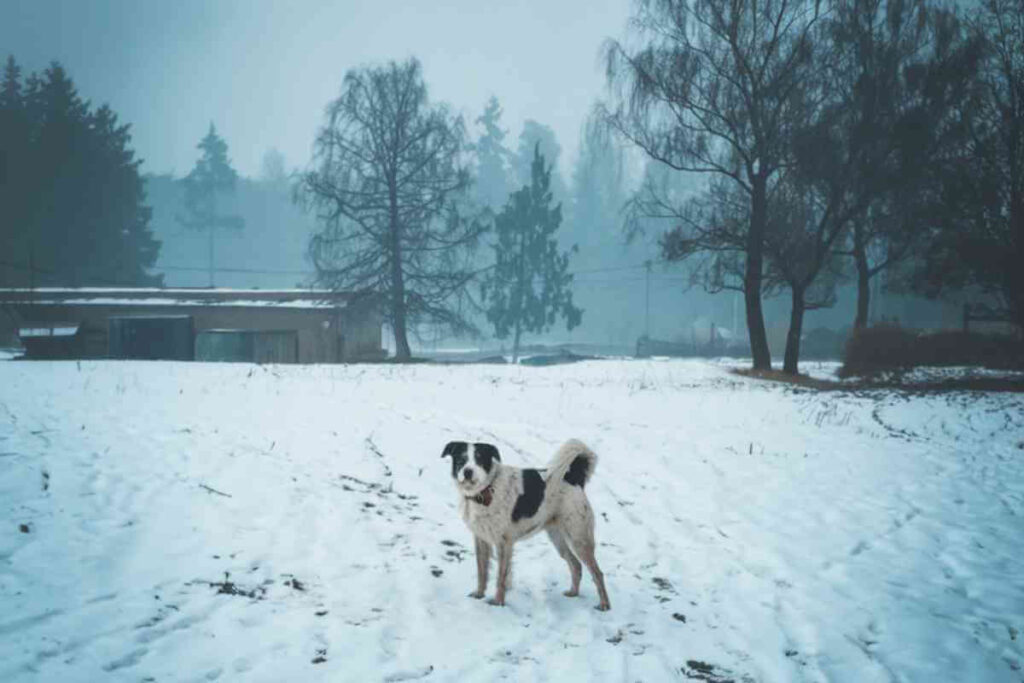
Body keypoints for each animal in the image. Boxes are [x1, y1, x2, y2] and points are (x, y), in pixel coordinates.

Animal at [440, 440, 606, 610]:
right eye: (461, 459)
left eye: (479, 459)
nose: (468, 472)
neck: (486, 490)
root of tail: (573, 478)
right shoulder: (481, 539)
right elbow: (482, 571)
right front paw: (479, 594)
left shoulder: (504, 543)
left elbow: (501, 577)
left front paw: (498, 603)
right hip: (558, 538)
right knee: (576, 565)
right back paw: (573, 593)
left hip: (579, 538)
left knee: (597, 573)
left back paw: (604, 605)